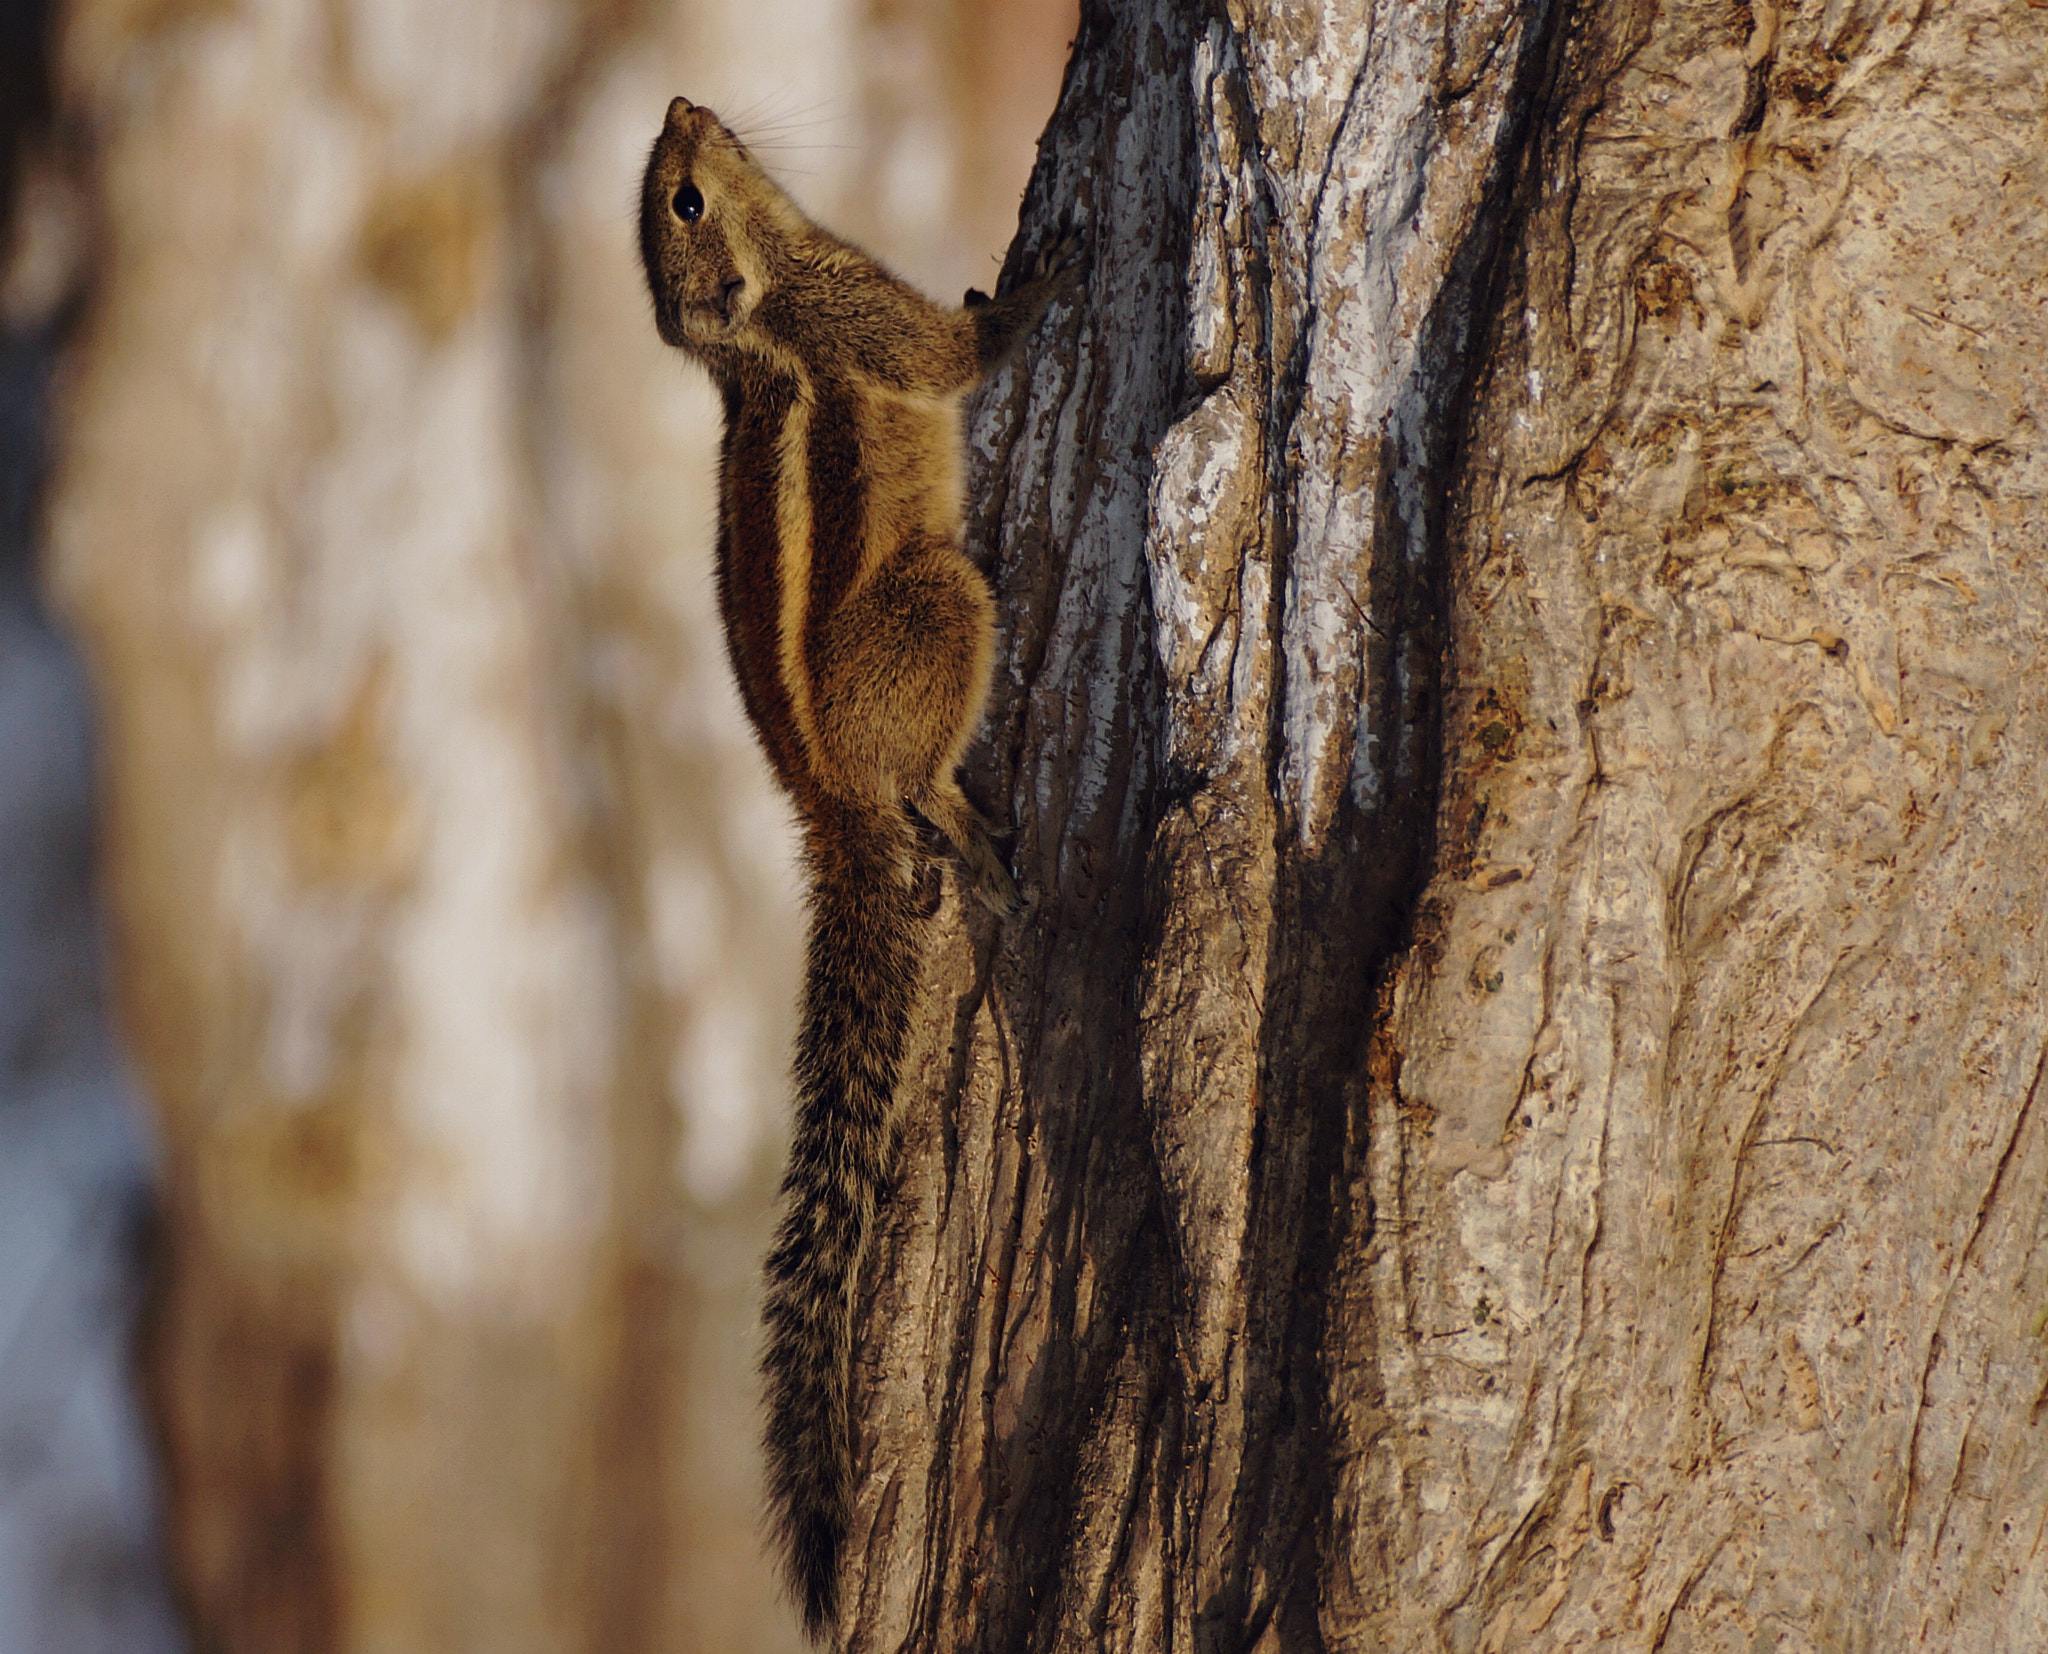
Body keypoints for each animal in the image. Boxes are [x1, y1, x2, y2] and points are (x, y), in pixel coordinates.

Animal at [638, 97, 1078, 1639]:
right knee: (922, 780)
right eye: (685, 199)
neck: (769, 301)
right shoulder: (861, 319)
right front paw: (1032, 286)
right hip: (940, 603)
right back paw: (963, 826)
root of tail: (822, 808)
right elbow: (951, 359)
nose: (683, 106)